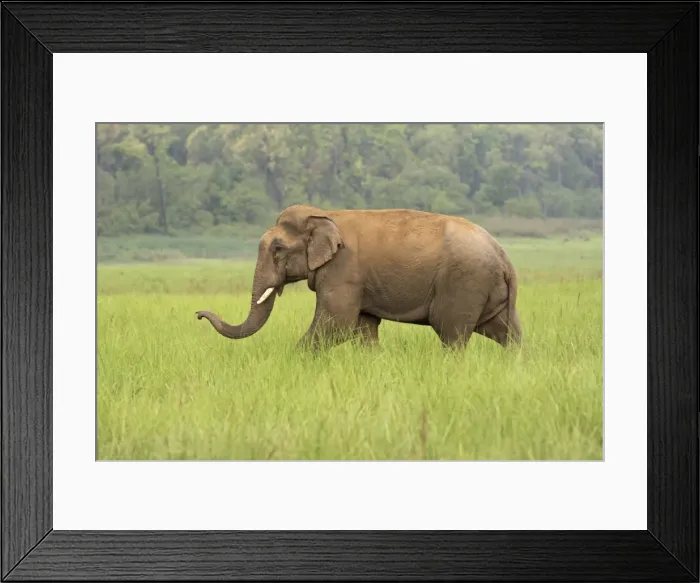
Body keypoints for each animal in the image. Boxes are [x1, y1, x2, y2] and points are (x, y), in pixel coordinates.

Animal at [196, 204, 522, 352]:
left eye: (277, 249)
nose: (198, 314)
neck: (323, 214)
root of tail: (504, 256)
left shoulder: (343, 271)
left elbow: (336, 324)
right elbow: (364, 327)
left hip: (464, 283)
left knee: (452, 334)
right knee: (507, 332)